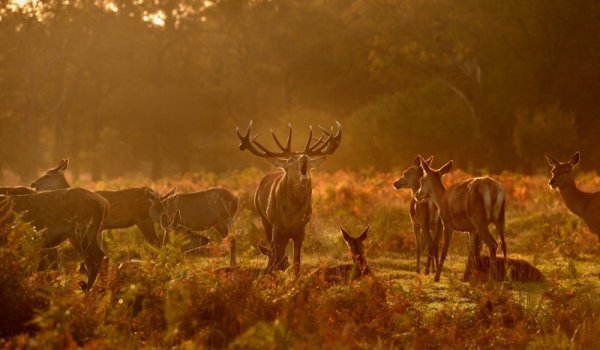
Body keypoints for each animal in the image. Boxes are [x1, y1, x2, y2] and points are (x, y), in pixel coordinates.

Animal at [29, 159, 176, 246]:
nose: (33, 184)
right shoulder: (101, 228)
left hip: (144, 219)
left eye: (47, 175)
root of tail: (157, 194)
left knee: (157, 243)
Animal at [238, 121, 342, 274]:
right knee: (271, 245)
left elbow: (297, 262)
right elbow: (275, 252)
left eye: (308, 158)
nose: (304, 157)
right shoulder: (276, 226)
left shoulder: (301, 230)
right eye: (291, 160)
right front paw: (274, 268)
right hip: (264, 218)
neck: (291, 215)